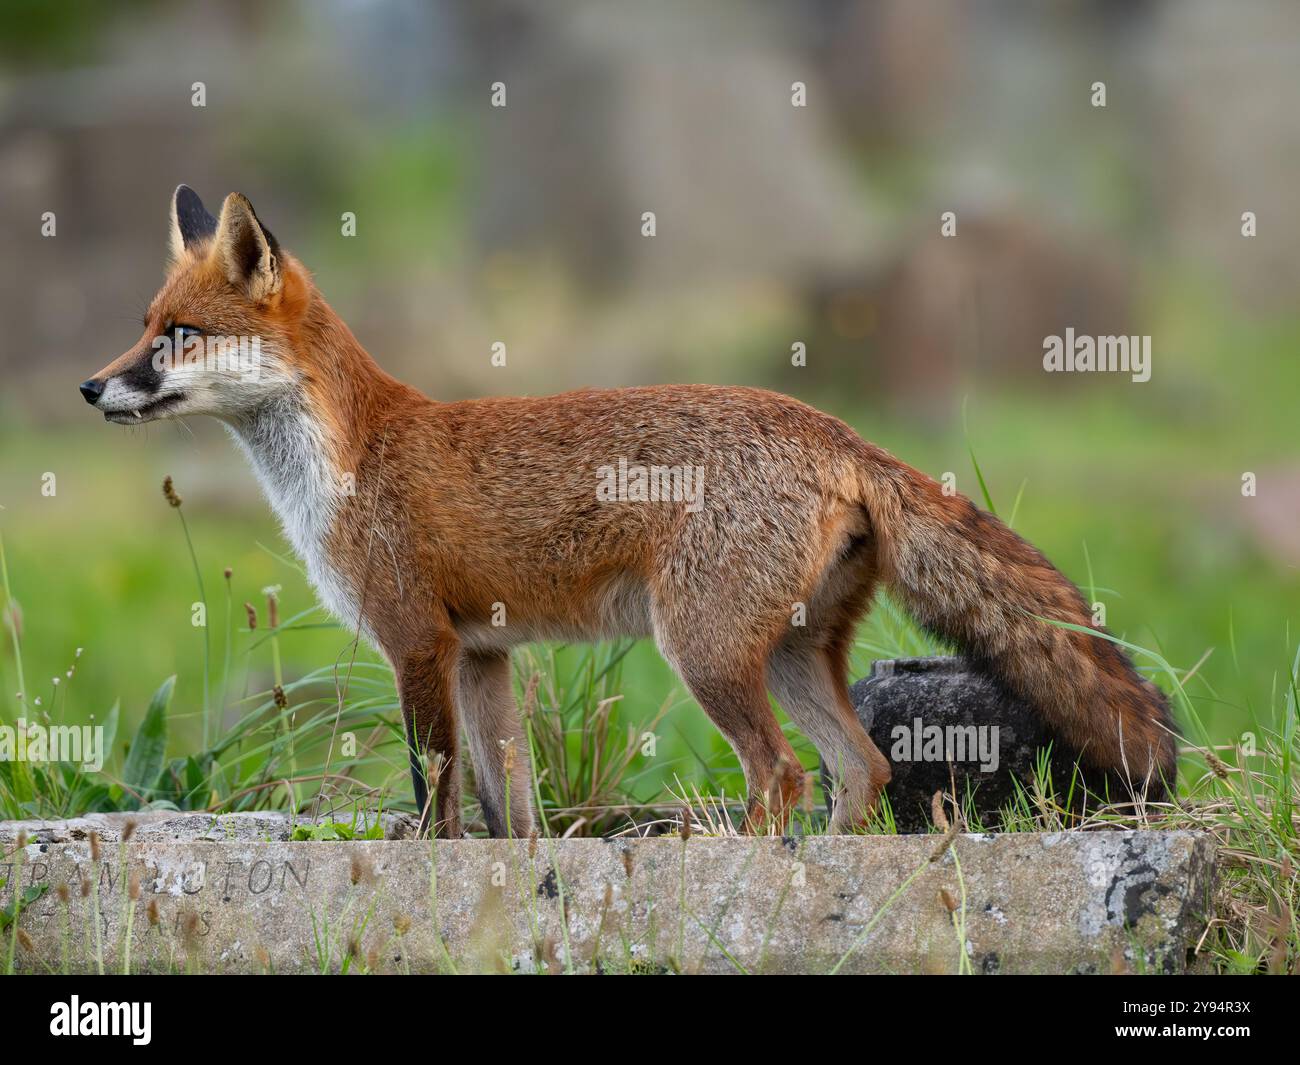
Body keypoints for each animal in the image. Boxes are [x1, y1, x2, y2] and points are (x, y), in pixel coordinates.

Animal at [80, 186, 1177, 838]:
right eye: (143, 326)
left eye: (178, 336)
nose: (92, 388)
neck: (345, 460)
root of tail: (836, 429)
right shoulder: (482, 655)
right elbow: (510, 809)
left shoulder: (415, 641)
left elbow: (436, 795)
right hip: (788, 653)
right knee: (861, 769)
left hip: (701, 650)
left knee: (781, 775)